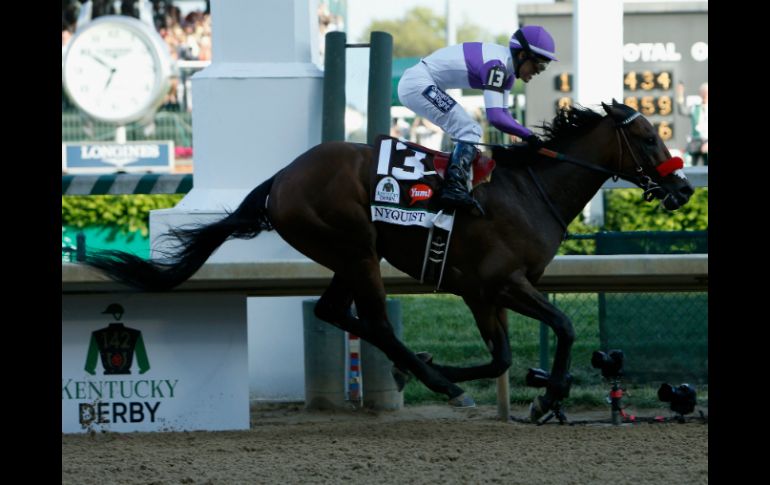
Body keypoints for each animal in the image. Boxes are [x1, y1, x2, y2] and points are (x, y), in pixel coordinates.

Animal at [82, 101, 688, 420]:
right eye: (648, 137)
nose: (682, 189)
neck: (529, 190)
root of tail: (281, 177)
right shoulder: (499, 284)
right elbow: (561, 326)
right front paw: (546, 398)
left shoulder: (484, 293)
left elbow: (502, 358)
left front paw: (518, 388)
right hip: (357, 249)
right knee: (373, 320)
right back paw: (434, 381)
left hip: (345, 256)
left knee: (334, 312)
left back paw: (423, 372)